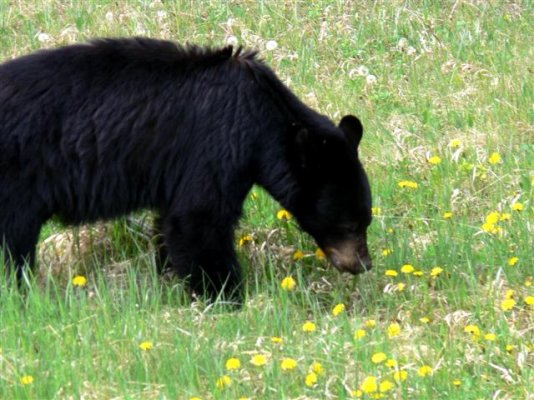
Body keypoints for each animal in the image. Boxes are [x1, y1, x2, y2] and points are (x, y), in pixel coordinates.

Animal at [0, 37, 374, 302]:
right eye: (349, 224)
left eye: (366, 220)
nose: (362, 264)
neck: (261, 116)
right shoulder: (216, 145)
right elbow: (199, 218)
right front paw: (224, 295)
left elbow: (170, 221)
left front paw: (170, 278)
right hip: (18, 179)